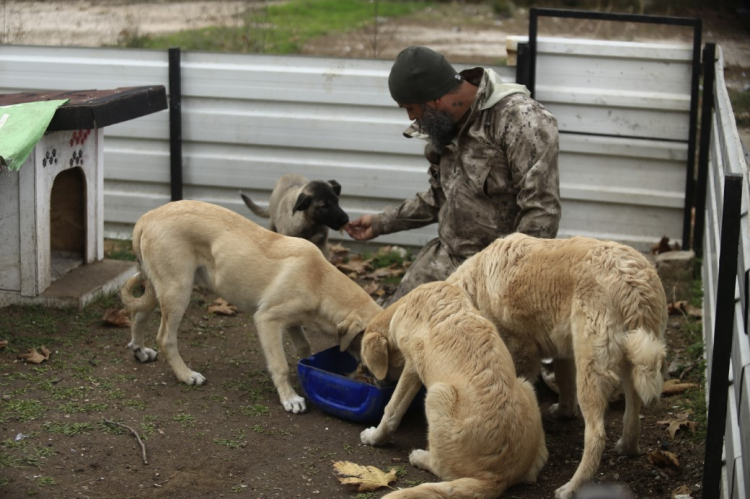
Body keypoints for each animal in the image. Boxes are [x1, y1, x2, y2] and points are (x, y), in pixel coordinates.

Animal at [122, 199, 382, 414]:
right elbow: (280, 365)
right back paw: (186, 376)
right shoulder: (267, 320)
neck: (320, 282)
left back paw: (140, 350)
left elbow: (305, 348)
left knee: (139, 314)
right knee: (165, 338)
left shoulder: (293, 321)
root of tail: (147, 218)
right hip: (177, 291)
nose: (383, 383)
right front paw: (290, 399)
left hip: (159, 287)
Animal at [362, 284, 548, 498]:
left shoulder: (412, 366)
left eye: (368, 369)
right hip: (525, 385)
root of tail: (500, 477)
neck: (407, 304)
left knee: (440, 467)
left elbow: (391, 410)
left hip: (437, 394)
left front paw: (374, 437)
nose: (377, 385)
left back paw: (420, 456)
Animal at [446, 234, 668, 499]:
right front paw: (564, 412)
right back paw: (628, 447)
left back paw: (572, 487)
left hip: (592, 368)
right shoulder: (564, 351)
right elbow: (564, 383)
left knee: (596, 435)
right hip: (630, 356)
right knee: (633, 410)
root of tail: (632, 281)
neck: (477, 283)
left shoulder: (521, 349)